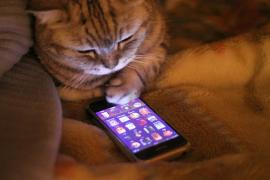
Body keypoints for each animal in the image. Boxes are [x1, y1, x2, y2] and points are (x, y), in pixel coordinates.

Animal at [31, 0, 167, 104]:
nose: (112, 66)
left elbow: (146, 63)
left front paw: (125, 85)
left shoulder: (160, 42)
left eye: (125, 39)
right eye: (85, 51)